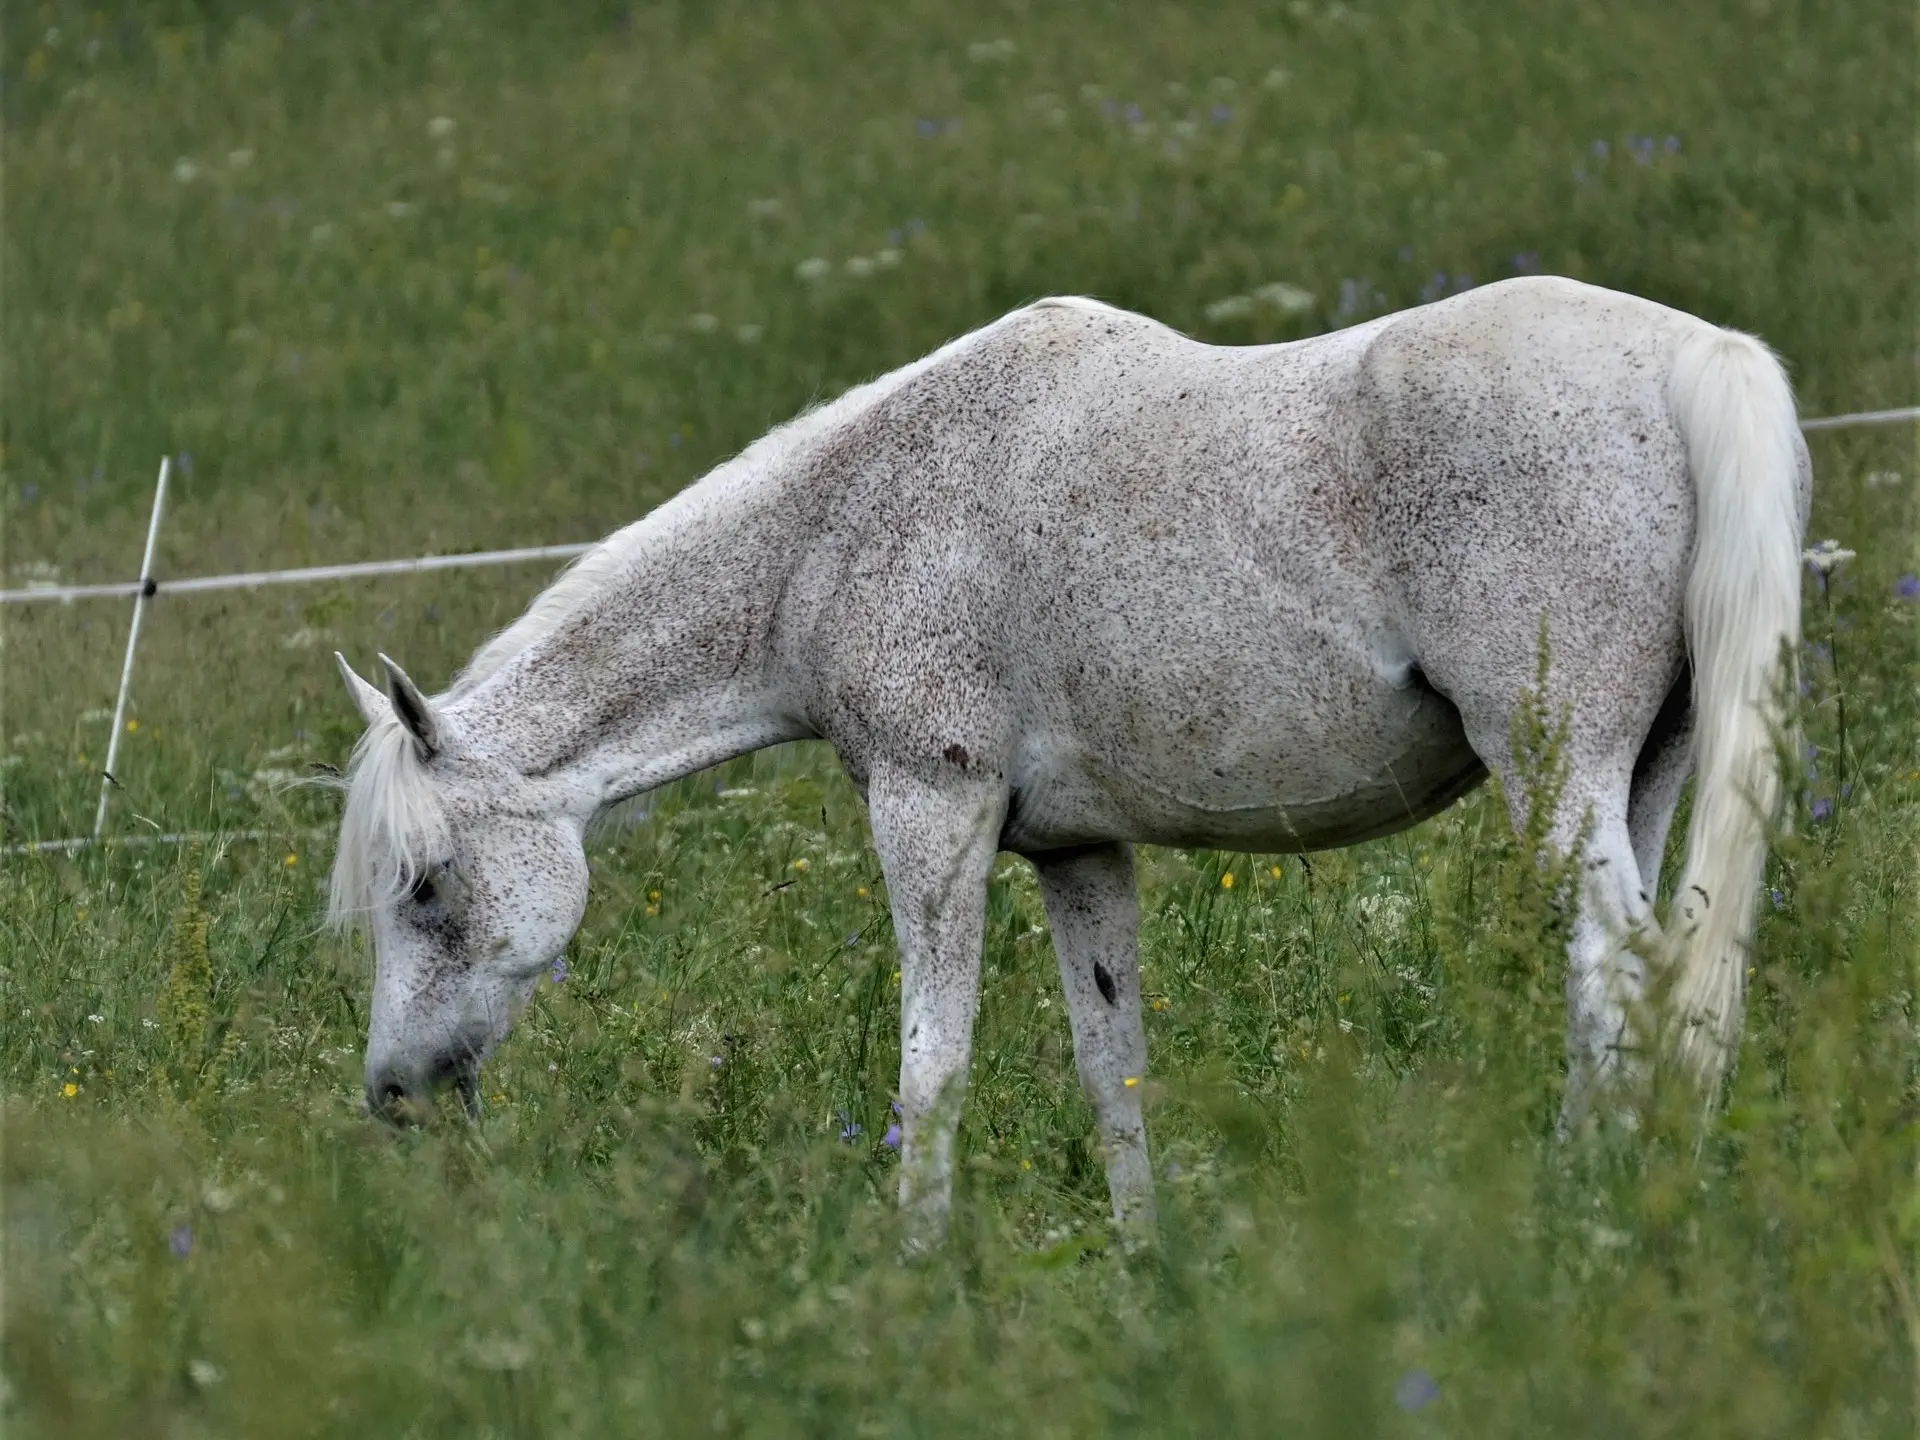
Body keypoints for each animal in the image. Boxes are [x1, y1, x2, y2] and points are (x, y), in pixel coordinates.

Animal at [322, 276, 1804, 1244]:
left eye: (428, 887)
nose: (390, 1094)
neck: (847, 525)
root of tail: (1696, 356)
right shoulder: (1080, 854)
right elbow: (1115, 1070)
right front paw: (1145, 1274)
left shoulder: (933, 814)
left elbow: (933, 1073)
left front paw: (913, 1285)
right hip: (1640, 780)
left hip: (1560, 781)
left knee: (1619, 976)